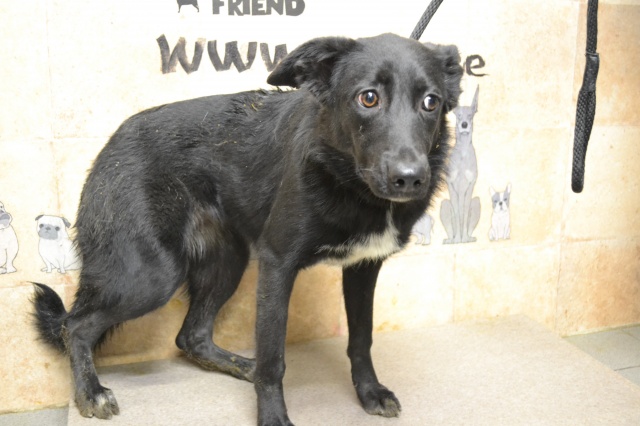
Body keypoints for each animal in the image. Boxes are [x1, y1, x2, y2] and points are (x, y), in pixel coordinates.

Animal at [32, 33, 462, 425]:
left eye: (431, 102)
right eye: (368, 98)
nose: (410, 179)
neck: (347, 178)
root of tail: (109, 145)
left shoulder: (363, 268)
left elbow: (361, 338)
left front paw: (369, 392)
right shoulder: (277, 264)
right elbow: (273, 358)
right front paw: (272, 417)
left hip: (227, 261)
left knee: (191, 336)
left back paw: (240, 366)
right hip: (153, 275)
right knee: (75, 325)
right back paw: (91, 392)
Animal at [440, 86, 481, 244]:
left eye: (470, 115)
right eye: (458, 115)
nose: (464, 124)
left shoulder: (470, 185)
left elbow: (464, 212)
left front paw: (463, 238)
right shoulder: (451, 185)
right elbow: (458, 215)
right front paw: (458, 239)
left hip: (477, 202)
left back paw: (468, 238)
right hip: (444, 204)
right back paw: (451, 240)